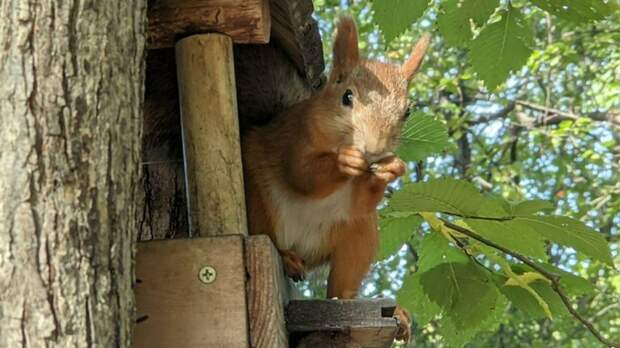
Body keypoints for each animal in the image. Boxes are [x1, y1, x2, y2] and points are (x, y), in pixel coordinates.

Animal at [240, 16, 428, 340]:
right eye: (347, 96)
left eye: (407, 111)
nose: (374, 150)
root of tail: (304, 248)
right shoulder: (295, 139)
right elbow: (302, 175)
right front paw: (345, 161)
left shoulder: (359, 203)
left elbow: (362, 202)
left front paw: (391, 169)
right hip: (258, 203)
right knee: (269, 238)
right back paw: (287, 258)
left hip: (358, 235)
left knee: (341, 287)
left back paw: (388, 311)